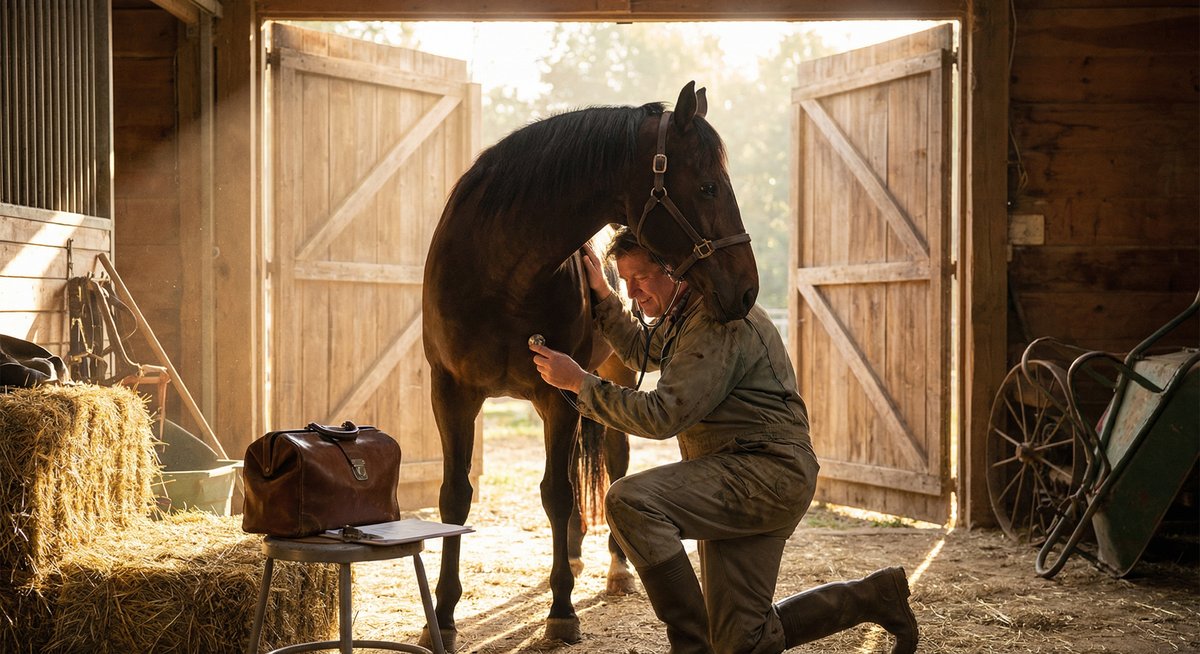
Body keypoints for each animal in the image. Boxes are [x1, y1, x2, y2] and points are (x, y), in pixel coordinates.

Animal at [421, 81, 759, 649]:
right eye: (709, 187)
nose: (747, 289)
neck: (499, 271)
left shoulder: (557, 394)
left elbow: (556, 494)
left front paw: (562, 612)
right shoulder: (451, 394)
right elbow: (454, 500)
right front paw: (441, 617)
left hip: (609, 380)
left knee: (612, 464)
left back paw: (615, 569)